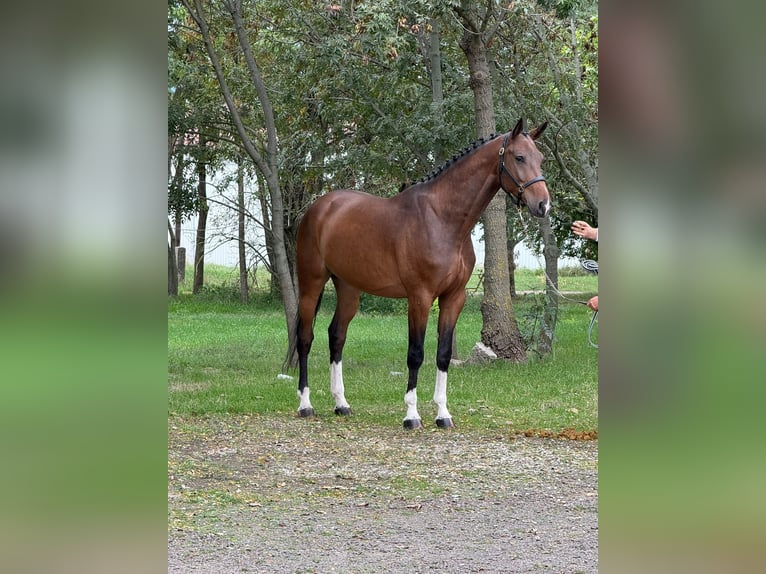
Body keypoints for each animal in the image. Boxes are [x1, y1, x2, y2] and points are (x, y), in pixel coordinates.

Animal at [290, 119, 552, 430]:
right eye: (519, 157)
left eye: (541, 159)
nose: (543, 205)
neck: (442, 219)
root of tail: (318, 208)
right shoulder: (420, 297)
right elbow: (415, 354)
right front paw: (411, 415)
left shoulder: (454, 298)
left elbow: (443, 354)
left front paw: (443, 414)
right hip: (311, 283)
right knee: (305, 338)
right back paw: (305, 405)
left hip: (349, 288)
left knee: (336, 336)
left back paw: (341, 403)